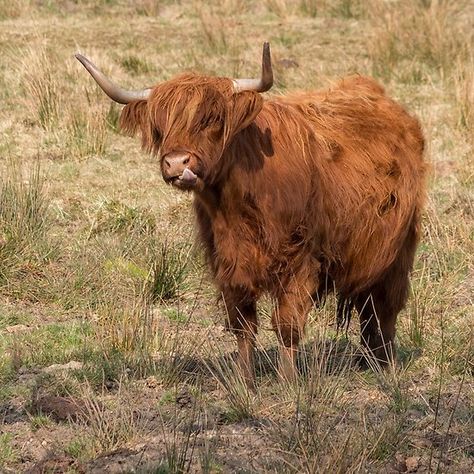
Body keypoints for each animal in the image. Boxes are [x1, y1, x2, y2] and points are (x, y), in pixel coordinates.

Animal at [77, 42, 426, 386]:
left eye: (213, 120)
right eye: (160, 127)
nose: (177, 163)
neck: (234, 206)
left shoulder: (300, 257)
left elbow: (287, 323)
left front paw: (288, 382)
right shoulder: (227, 262)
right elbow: (242, 324)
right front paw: (245, 380)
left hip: (398, 250)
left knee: (385, 307)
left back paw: (384, 364)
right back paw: (366, 360)